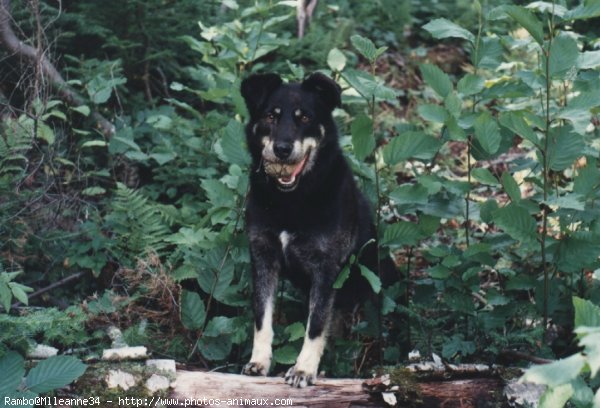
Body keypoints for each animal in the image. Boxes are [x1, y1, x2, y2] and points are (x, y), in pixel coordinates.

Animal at [240, 71, 380, 388]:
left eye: (305, 117)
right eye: (271, 115)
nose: (282, 149)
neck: (290, 200)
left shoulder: (326, 269)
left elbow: (315, 325)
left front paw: (304, 369)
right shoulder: (263, 258)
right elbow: (262, 316)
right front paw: (259, 362)